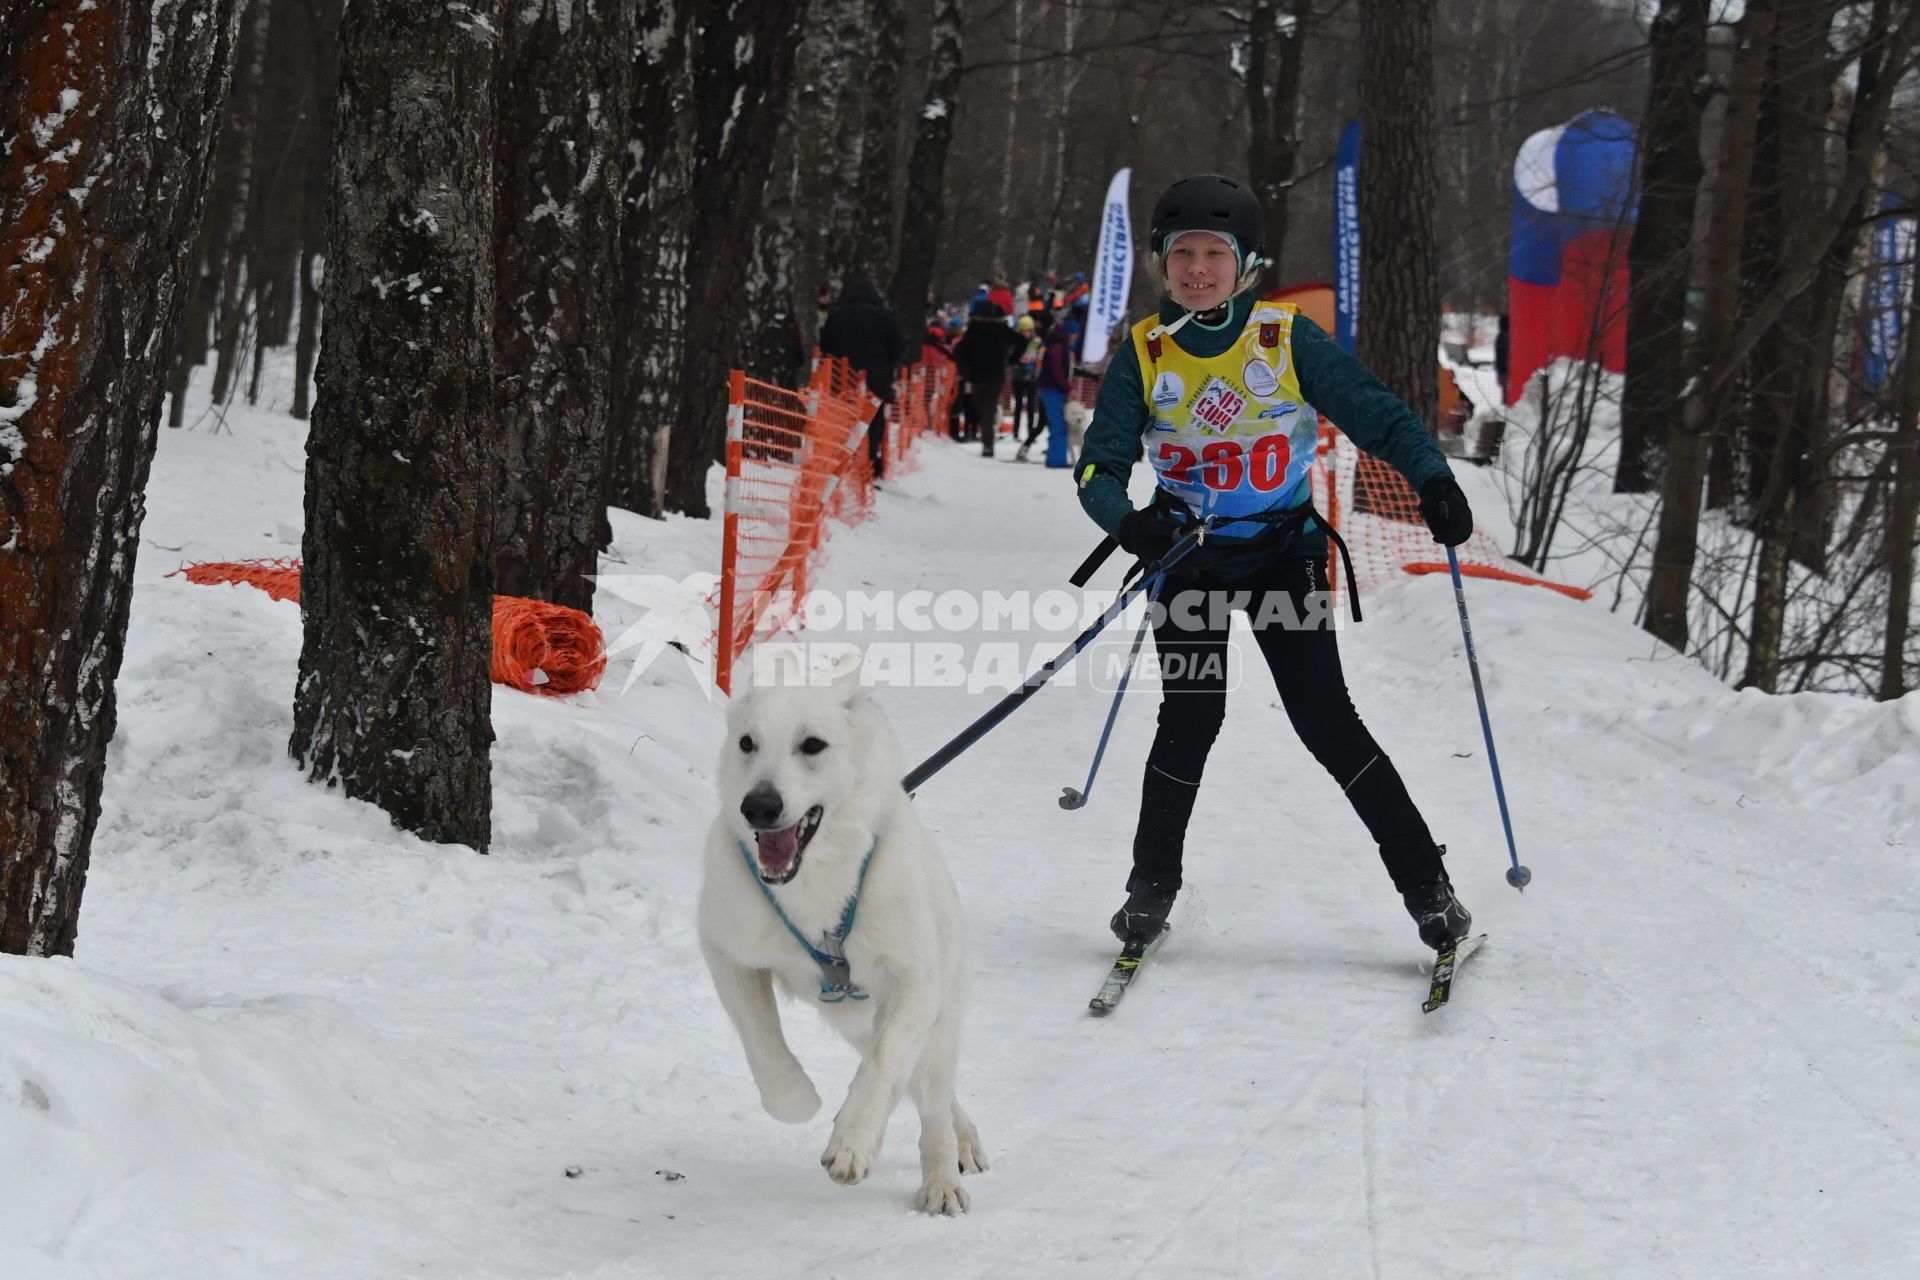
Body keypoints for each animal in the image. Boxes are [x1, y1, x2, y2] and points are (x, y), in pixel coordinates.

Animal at [695, 656, 990, 1220]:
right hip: (854, 1019)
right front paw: (797, 1102)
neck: (817, 882)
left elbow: (882, 1065)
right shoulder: (727, 950)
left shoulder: (915, 983)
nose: (758, 806)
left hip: (935, 1014)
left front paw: (852, 1142)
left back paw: (943, 1176)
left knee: (932, 1099)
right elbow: (763, 1043)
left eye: (812, 745)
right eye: (747, 743)